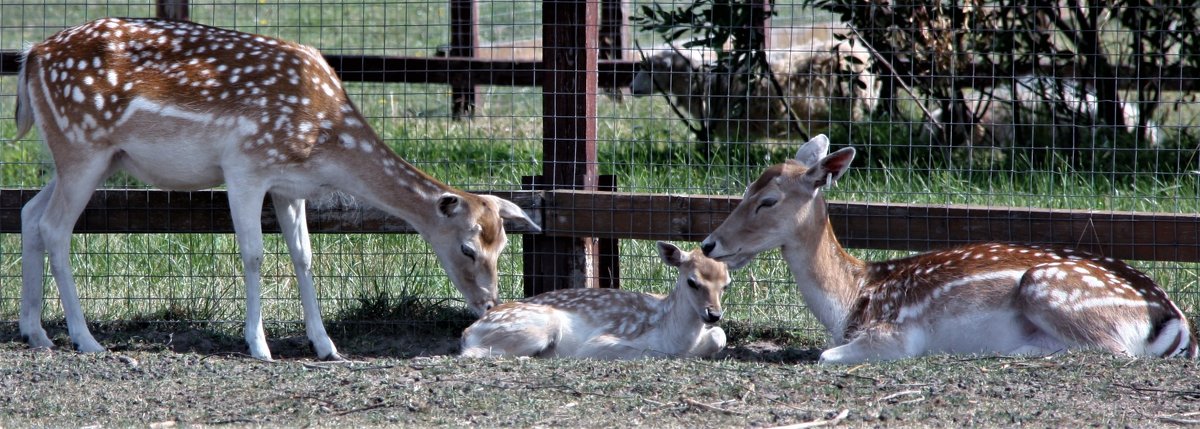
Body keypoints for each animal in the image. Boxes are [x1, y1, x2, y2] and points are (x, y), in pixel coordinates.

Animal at [12, 19, 540, 361]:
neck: (324, 141)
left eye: (504, 243)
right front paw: (259, 345)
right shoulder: (245, 165)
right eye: (469, 248)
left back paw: (36, 332)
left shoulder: (291, 186)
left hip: (88, 157)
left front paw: (326, 346)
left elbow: (304, 257)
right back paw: (85, 339)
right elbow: (254, 254)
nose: (489, 304)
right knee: (55, 227)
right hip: (82, 145)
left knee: (29, 213)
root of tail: (30, 57)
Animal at [460, 240, 729, 359]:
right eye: (692, 281)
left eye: (726, 284)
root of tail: (467, 331)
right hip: (537, 327)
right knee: (473, 353)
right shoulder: (600, 342)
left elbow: (720, 335)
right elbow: (648, 352)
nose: (714, 314)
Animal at [700, 136, 1195, 364]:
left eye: (768, 200)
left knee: (1114, 350)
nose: (709, 242)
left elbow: (824, 356)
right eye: (748, 187)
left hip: (1049, 288)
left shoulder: (895, 334)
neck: (851, 301)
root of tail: (1174, 320)